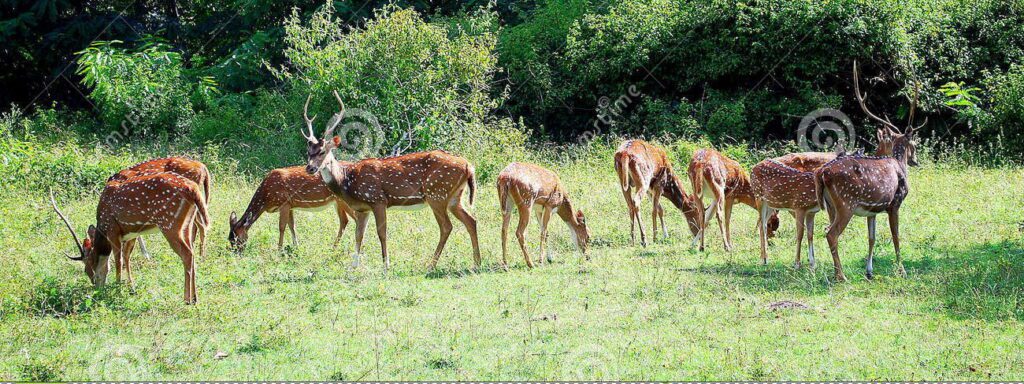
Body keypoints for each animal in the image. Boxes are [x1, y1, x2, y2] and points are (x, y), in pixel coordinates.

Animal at [49, 174, 207, 303]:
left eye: (87, 268)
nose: (96, 286)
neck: (102, 227)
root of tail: (192, 188)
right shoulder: (132, 233)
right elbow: (126, 257)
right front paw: (131, 288)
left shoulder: (113, 230)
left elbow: (118, 260)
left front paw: (117, 289)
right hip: (187, 224)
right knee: (191, 252)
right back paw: (195, 298)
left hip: (169, 223)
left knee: (187, 254)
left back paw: (187, 299)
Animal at [228, 165, 356, 250]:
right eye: (229, 239)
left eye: (237, 239)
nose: (236, 253)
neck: (266, 199)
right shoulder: (290, 205)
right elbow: (292, 225)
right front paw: (296, 246)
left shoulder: (284, 203)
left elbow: (281, 227)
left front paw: (279, 249)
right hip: (337, 202)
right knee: (344, 220)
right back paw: (334, 247)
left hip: (343, 200)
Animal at [301, 91, 481, 272]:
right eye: (308, 152)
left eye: (322, 152)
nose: (310, 168)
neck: (347, 181)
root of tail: (469, 166)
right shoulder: (362, 209)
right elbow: (359, 235)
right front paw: (353, 266)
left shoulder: (378, 200)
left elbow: (382, 233)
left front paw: (386, 265)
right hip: (454, 197)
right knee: (471, 221)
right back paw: (476, 262)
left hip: (437, 193)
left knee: (446, 226)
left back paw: (431, 265)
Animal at [815, 60, 929, 282]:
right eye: (914, 144)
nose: (915, 161)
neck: (898, 163)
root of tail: (822, 174)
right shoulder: (894, 203)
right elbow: (896, 236)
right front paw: (902, 270)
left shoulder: (872, 210)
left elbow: (872, 237)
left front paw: (869, 271)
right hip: (846, 203)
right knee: (831, 233)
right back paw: (842, 276)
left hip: (830, 206)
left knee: (829, 231)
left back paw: (835, 273)